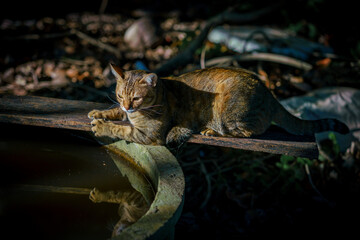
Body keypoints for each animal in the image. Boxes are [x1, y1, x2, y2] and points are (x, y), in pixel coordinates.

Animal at [88, 63, 350, 145]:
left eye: (137, 98)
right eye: (120, 95)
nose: (128, 106)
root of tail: (269, 92)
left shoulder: (148, 134)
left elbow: (121, 129)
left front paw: (101, 126)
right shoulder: (124, 112)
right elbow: (114, 113)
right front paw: (98, 112)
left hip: (227, 111)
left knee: (247, 132)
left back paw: (211, 131)